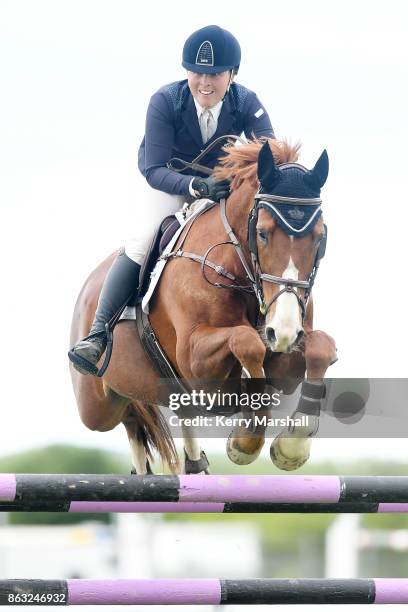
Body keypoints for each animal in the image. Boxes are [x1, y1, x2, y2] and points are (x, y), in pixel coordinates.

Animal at [70, 139, 336, 474]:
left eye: (319, 239)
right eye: (262, 233)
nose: (284, 331)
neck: (241, 269)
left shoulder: (286, 359)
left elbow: (321, 346)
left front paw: (292, 446)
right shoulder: (194, 358)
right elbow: (247, 341)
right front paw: (246, 440)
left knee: (150, 414)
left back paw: (193, 466)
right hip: (96, 406)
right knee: (128, 417)